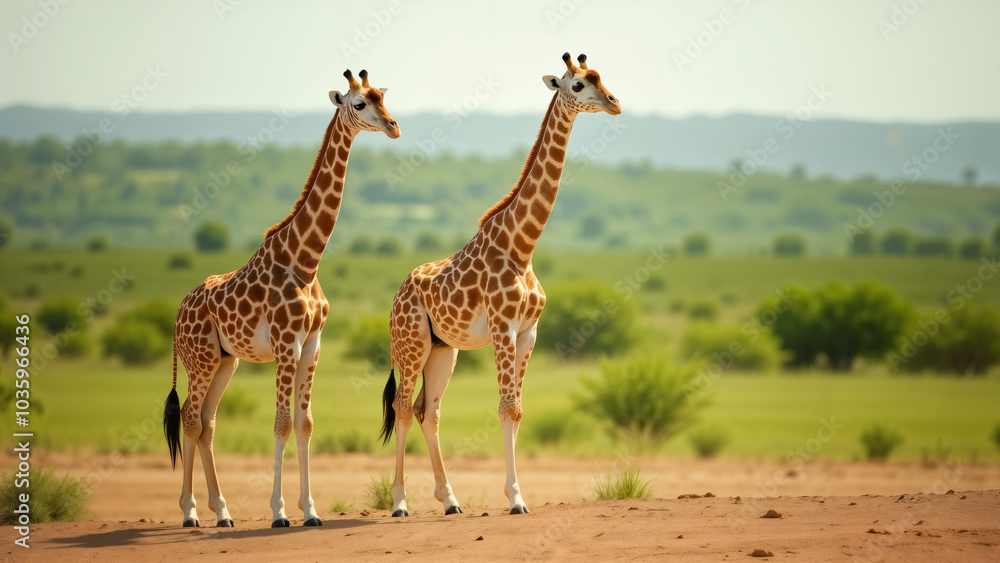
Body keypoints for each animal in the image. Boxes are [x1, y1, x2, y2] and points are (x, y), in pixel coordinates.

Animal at [162, 69, 400, 528]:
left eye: (383, 96)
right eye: (360, 104)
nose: (394, 127)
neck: (304, 261)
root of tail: (178, 312)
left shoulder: (312, 346)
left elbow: (305, 424)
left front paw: (310, 511)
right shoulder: (285, 345)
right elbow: (281, 424)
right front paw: (279, 512)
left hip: (226, 361)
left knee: (207, 422)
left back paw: (223, 512)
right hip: (200, 359)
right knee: (189, 420)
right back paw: (191, 513)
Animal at [378, 53, 620, 516]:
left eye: (601, 77)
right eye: (578, 85)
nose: (615, 103)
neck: (521, 247)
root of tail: (397, 295)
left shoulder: (528, 333)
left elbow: (517, 409)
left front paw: (516, 494)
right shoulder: (503, 328)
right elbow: (506, 407)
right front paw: (516, 500)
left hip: (443, 350)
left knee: (428, 411)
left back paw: (450, 500)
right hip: (410, 344)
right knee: (401, 406)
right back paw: (399, 502)